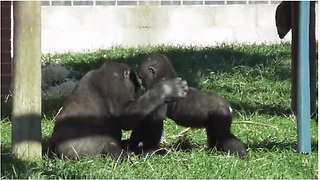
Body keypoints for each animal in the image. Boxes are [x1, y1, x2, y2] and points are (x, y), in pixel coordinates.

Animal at [47, 61, 188, 160]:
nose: (138, 84)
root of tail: (53, 151)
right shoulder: (116, 84)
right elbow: (126, 118)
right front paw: (166, 90)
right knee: (108, 144)